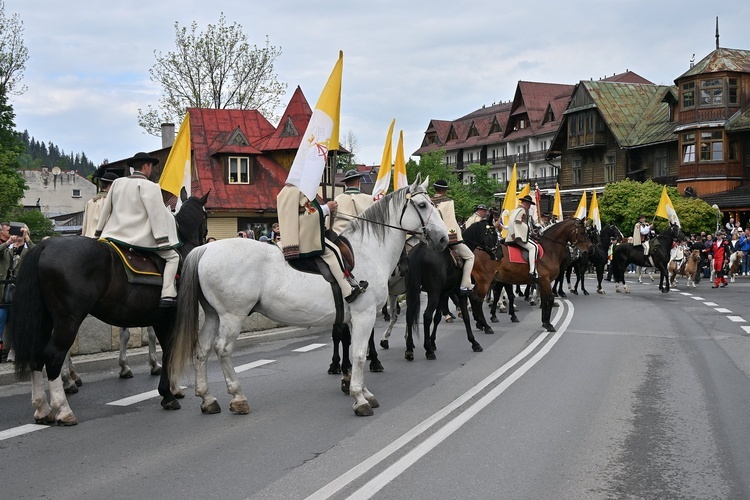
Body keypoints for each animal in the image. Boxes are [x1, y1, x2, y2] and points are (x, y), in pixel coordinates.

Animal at [9, 193, 209, 424]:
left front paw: (170, 389)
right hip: (68, 320)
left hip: (46, 320)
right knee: (53, 356)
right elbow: (168, 350)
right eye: (206, 216)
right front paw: (168, 393)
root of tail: (44, 246)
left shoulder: (159, 318)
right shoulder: (169, 318)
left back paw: (43, 408)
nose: (205, 239)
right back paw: (63, 408)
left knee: (37, 356)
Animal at [170, 178, 450, 416]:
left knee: (202, 350)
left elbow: (352, 352)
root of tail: (205, 248)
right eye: (423, 205)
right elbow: (360, 354)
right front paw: (359, 398)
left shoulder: (353, 318)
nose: (443, 239)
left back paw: (207, 398)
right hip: (232, 316)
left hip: (213, 315)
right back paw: (237, 397)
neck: (368, 252)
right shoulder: (364, 315)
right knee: (222, 349)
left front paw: (361, 390)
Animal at [402, 219, 496, 360]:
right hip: (433, 294)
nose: (499, 253)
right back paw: (428, 350)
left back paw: (409, 349)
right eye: (494, 233)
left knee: (410, 316)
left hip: (413, 292)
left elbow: (437, 318)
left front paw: (433, 341)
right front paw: (474, 342)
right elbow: (466, 317)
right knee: (426, 316)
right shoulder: (459, 294)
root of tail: (419, 250)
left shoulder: (443, 294)